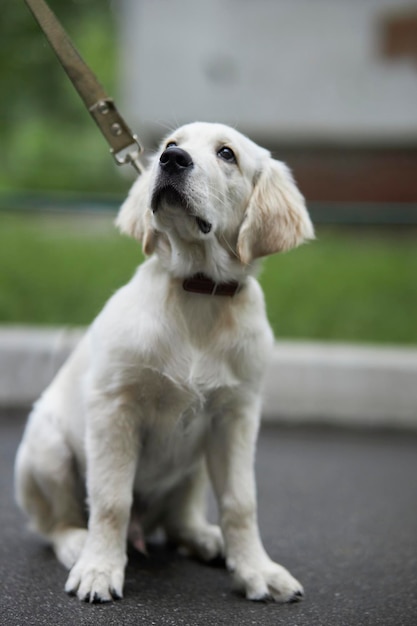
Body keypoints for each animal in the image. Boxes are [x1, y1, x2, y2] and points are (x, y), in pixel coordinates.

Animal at [14, 119, 314, 604]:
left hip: (194, 466)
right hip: (47, 447)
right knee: (54, 524)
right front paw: (99, 569)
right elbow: (112, 499)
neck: (198, 291)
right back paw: (78, 544)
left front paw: (257, 571)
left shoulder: (236, 415)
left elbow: (240, 502)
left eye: (227, 154)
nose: (171, 161)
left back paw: (205, 538)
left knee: (177, 521)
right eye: (172, 144)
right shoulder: (114, 408)